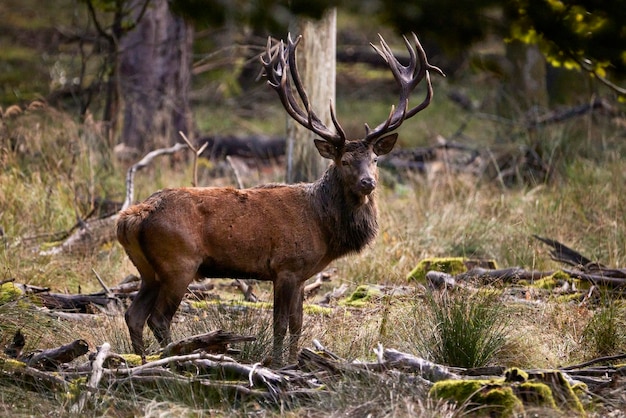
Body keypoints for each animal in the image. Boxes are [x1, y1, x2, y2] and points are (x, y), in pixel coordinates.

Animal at [116, 31, 438, 366]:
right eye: (344, 161)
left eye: (375, 159)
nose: (368, 182)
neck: (322, 226)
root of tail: (132, 216)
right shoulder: (286, 266)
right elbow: (280, 323)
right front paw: (278, 363)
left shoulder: (302, 274)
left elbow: (297, 322)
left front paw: (295, 361)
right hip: (179, 262)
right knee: (158, 318)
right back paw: (171, 357)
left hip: (148, 269)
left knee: (133, 315)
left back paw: (141, 360)